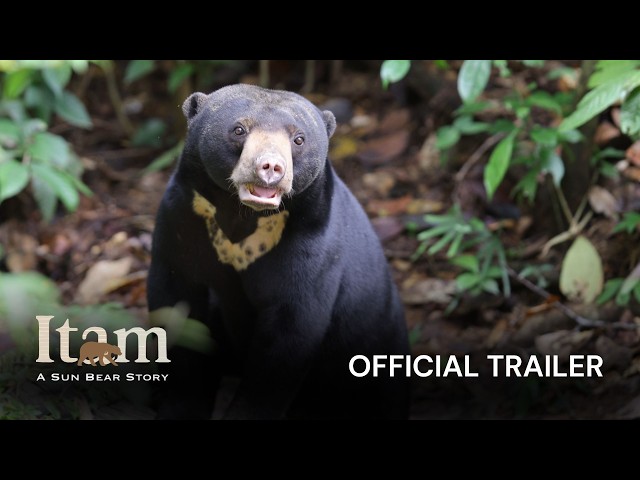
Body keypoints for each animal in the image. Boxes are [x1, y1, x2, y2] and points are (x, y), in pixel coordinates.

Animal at [147, 83, 410, 419]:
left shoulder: (311, 242)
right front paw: (178, 405)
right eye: (239, 129)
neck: (241, 215)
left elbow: (289, 331)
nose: (270, 168)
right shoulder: (182, 218)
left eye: (298, 139)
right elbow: (177, 305)